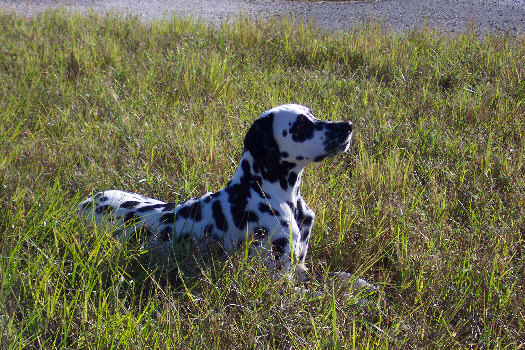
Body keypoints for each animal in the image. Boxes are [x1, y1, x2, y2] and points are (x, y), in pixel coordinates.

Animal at [78, 104, 372, 292]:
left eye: (312, 114)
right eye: (301, 124)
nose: (347, 127)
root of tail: (82, 205)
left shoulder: (301, 268)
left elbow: (340, 278)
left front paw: (363, 286)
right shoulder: (281, 282)